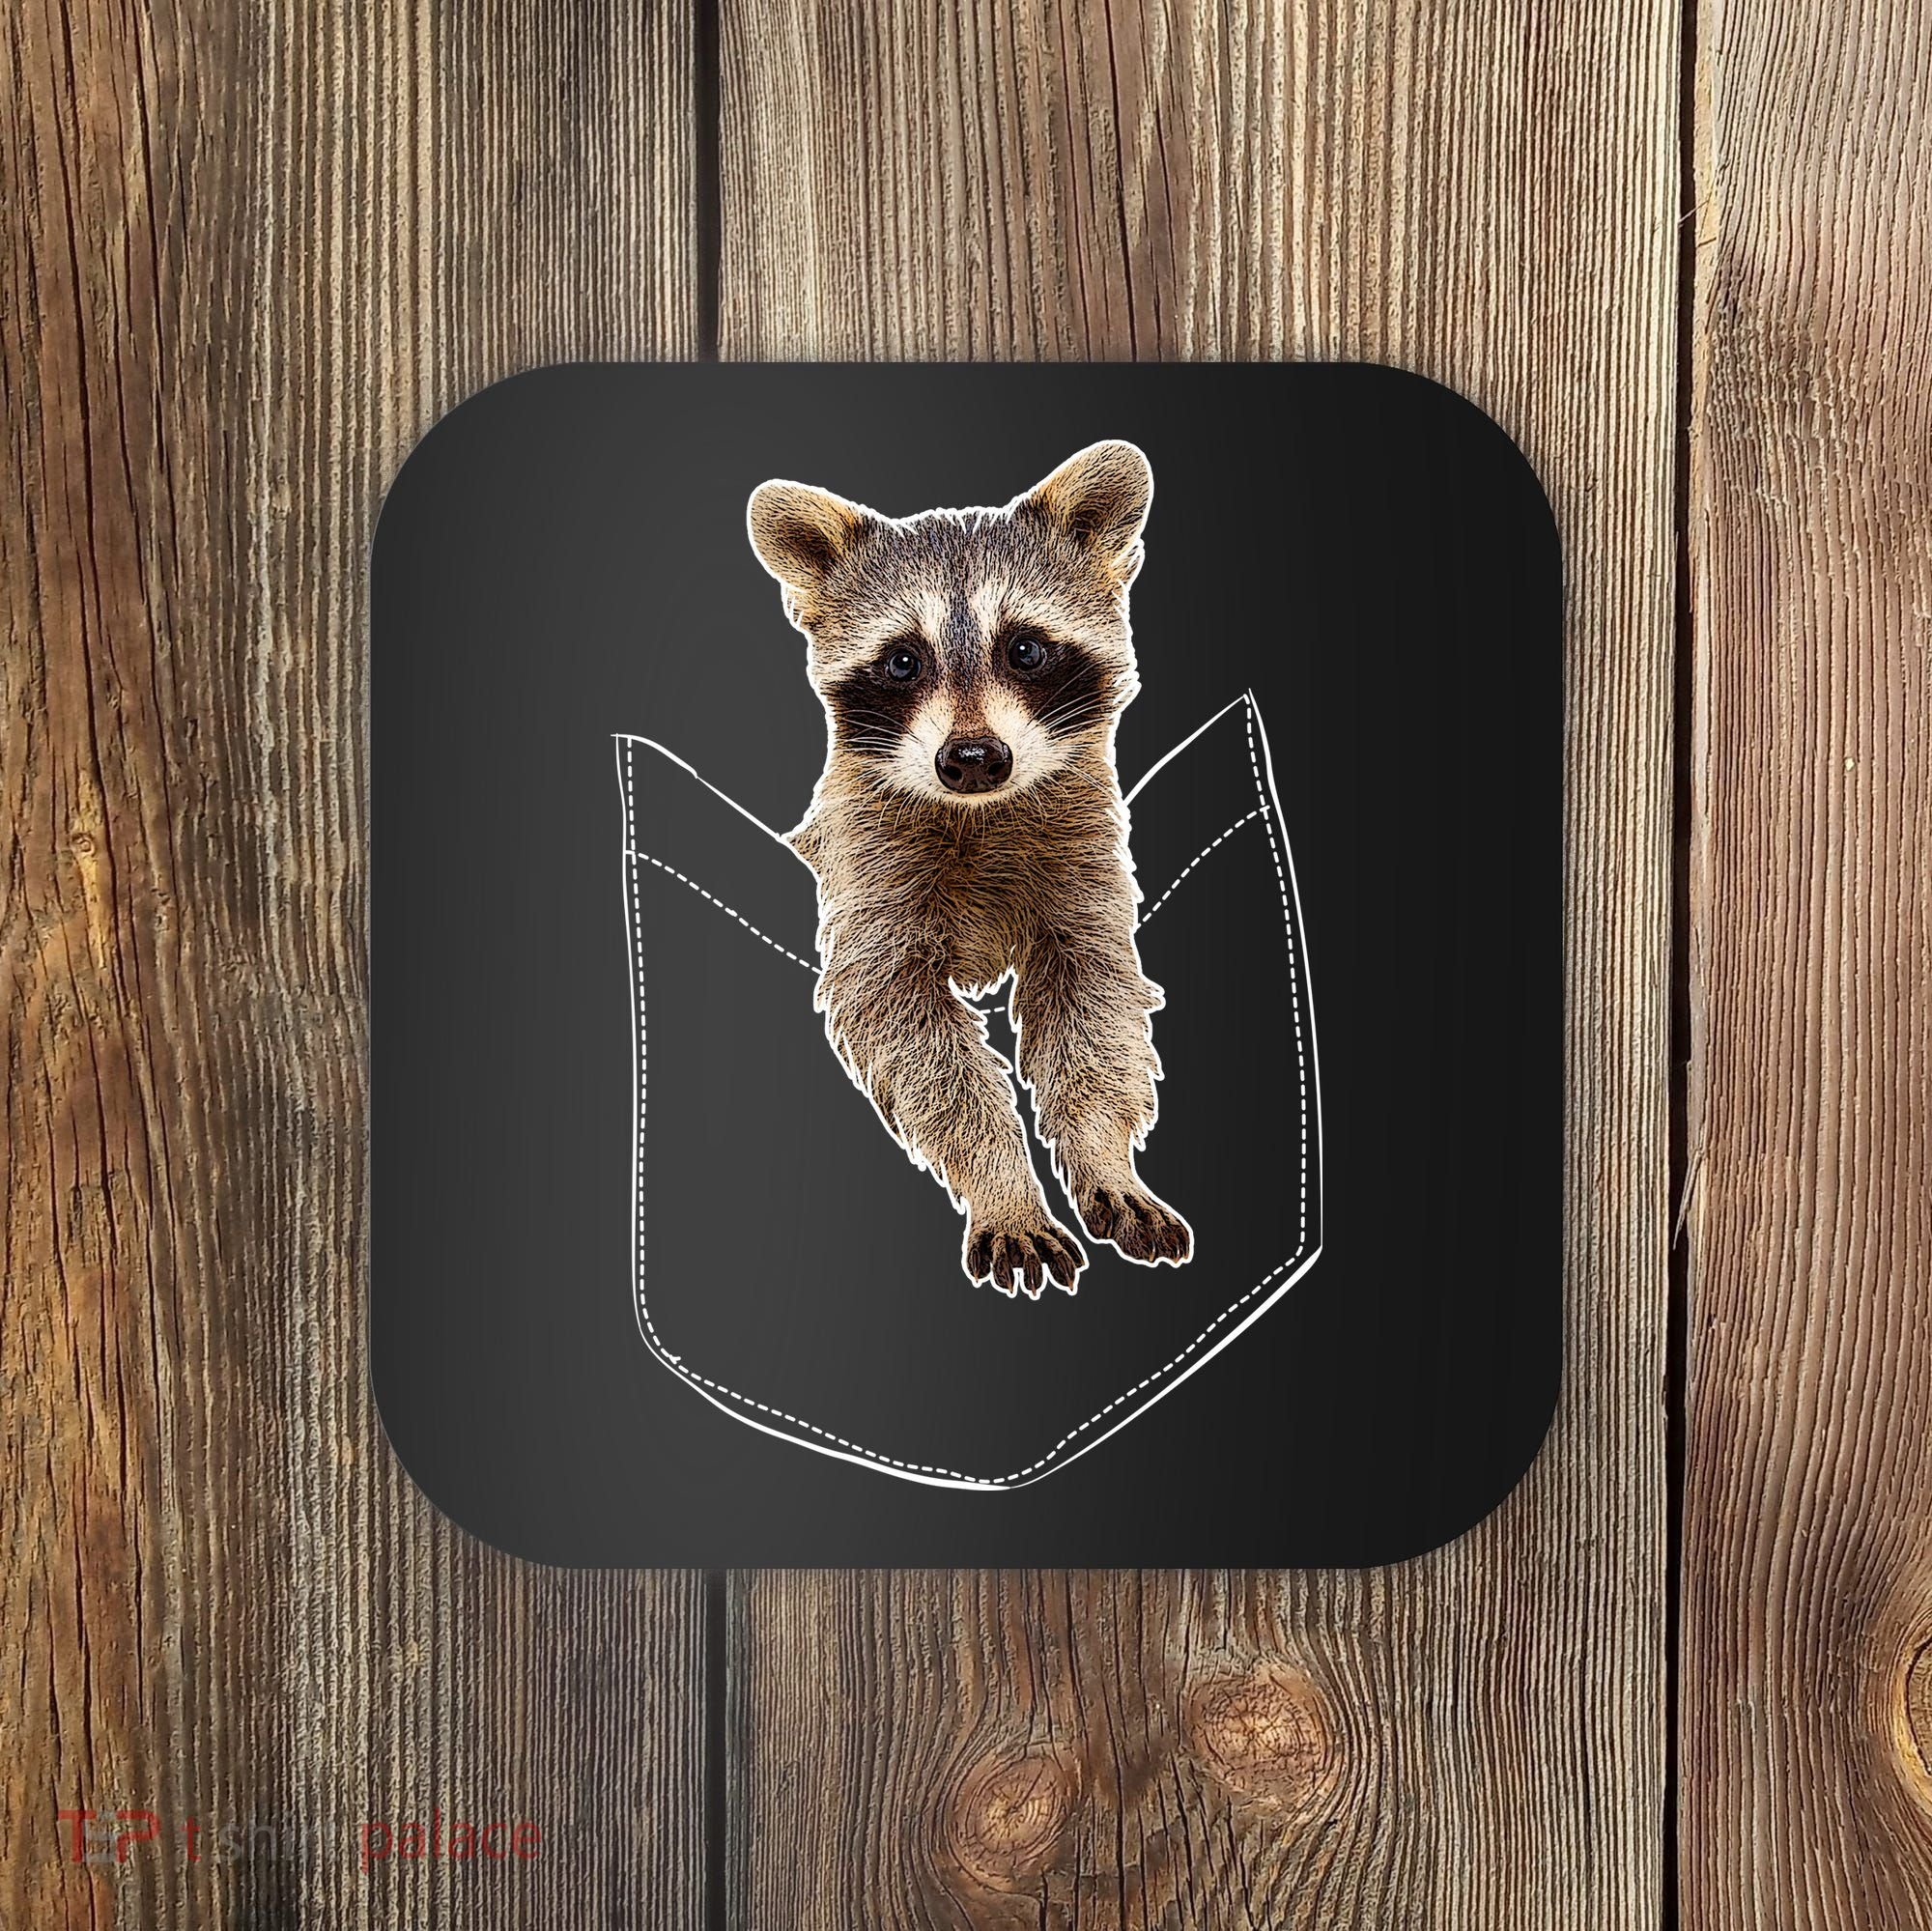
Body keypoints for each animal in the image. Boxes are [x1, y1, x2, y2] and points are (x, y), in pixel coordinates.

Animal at [747, 441, 1192, 1298]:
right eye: (901, 661)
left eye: (1025, 648)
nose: (974, 757)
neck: (982, 811)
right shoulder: (868, 870)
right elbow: (910, 1031)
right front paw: (1002, 1182)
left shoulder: (1083, 860)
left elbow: (1096, 1007)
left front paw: (1102, 1153)